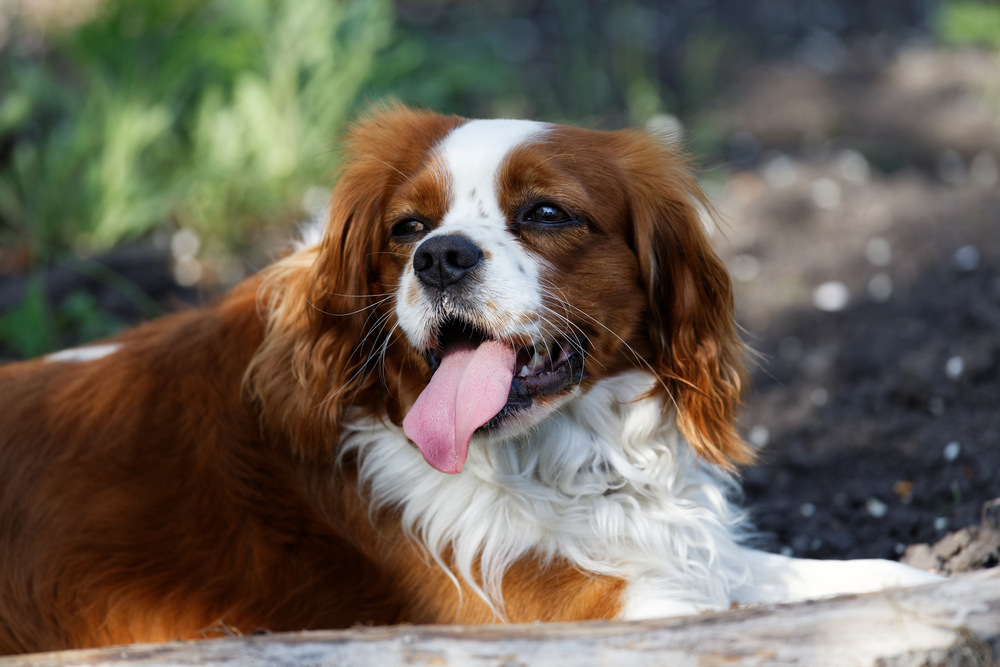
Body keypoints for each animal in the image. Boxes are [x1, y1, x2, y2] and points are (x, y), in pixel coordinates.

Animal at [0, 105, 936, 656]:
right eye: (407, 225)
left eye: (547, 213)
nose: (439, 255)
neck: (564, 457)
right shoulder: (569, 613)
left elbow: (822, 575)